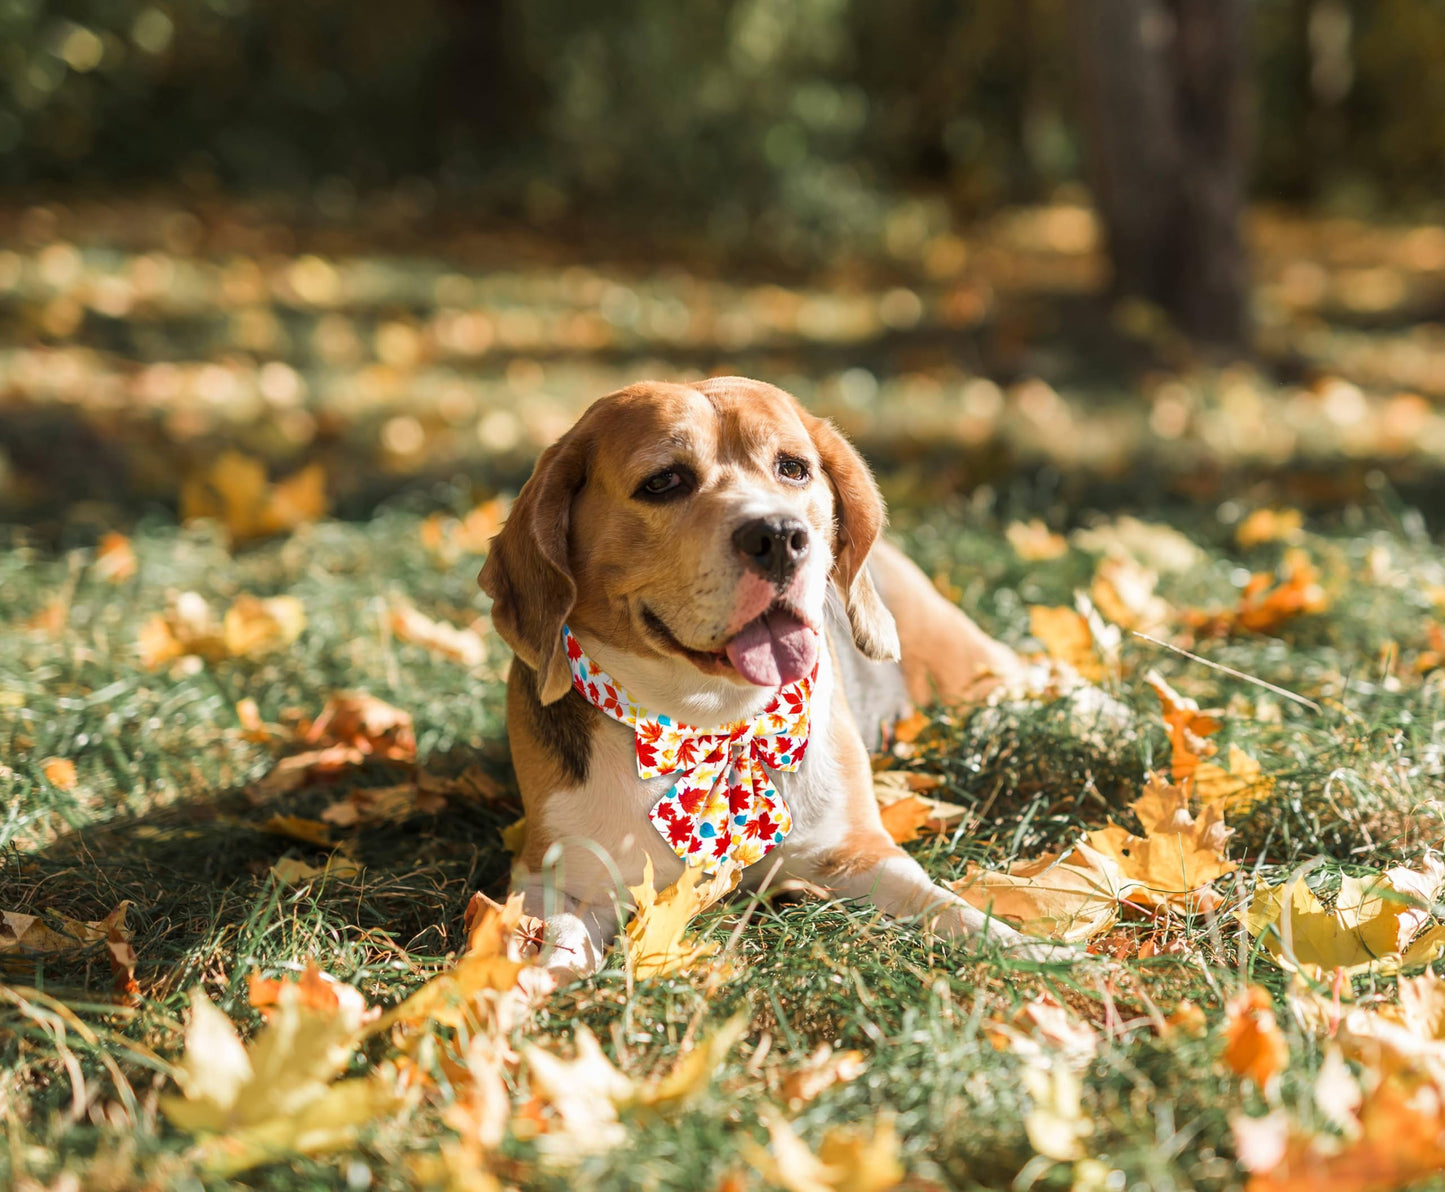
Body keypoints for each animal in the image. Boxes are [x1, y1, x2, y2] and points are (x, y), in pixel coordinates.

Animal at [479, 375, 1057, 976]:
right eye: (663, 481)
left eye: (794, 468)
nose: (780, 535)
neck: (712, 721)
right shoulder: (556, 879)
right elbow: (555, 947)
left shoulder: (864, 855)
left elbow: (950, 908)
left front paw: (1038, 954)